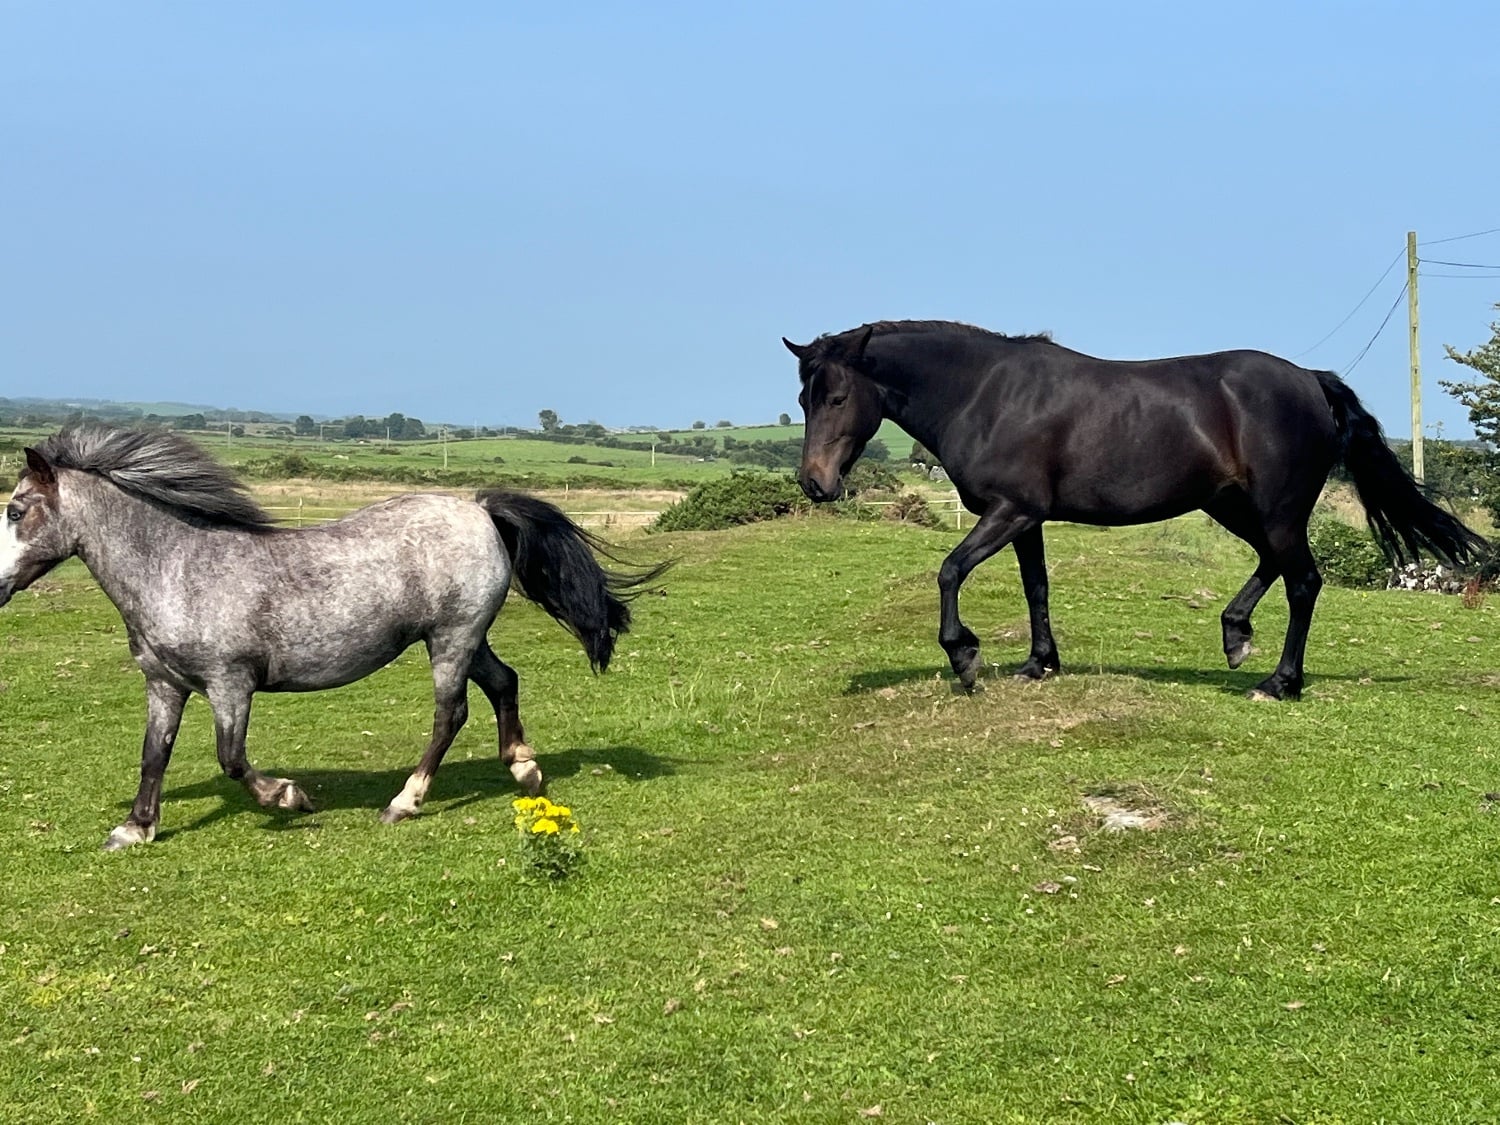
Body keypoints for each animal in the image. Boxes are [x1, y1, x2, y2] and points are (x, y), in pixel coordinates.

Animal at [0, 426, 665, 849]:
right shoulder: (165, 684)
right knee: (504, 682)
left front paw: (290, 797)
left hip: (451, 639)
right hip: (465, 638)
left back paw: (404, 801)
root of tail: (478, 509)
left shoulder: (229, 683)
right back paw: (524, 770)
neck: (180, 568)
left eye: (14, 511)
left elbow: (231, 759)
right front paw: (135, 828)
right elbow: (153, 754)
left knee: (450, 713)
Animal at [784, 320, 1487, 701]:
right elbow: (1036, 587)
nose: (816, 484)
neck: (986, 395)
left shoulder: (1008, 512)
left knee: (1303, 581)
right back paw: (1235, 635)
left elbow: (950, 571)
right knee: (1273, 566)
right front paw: (1039, 664)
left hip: (1277, 509)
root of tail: (1311, 381)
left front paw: (965, 658)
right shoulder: (1025, 519)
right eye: (803, 398)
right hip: (1233, 506)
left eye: (838, 396)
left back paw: (1280, 681)